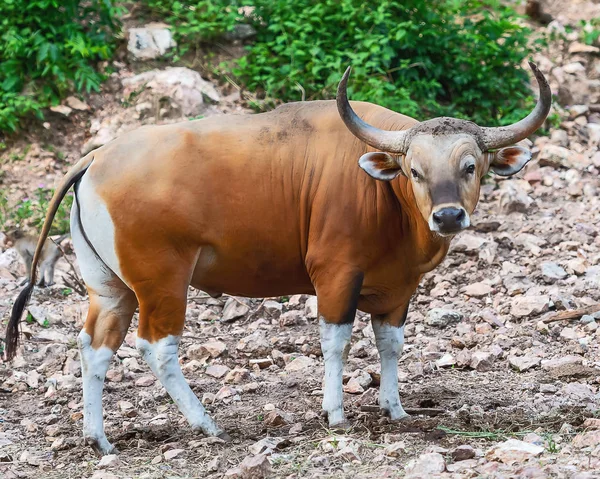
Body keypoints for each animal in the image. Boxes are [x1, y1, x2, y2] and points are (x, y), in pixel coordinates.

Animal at [4, 62, 552, 456]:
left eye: (470, 166)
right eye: (414, 170)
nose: (449, 216)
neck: (384, 196)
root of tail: (96, 157)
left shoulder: (400, 288)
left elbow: (391, 345)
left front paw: (395, 409)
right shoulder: (336, 275)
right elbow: (336, 342)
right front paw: (335, 413)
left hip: (109, 287)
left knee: (94, 346)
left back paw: (99, 438)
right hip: (162, 282)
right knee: (156, 348)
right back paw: (208, 425)